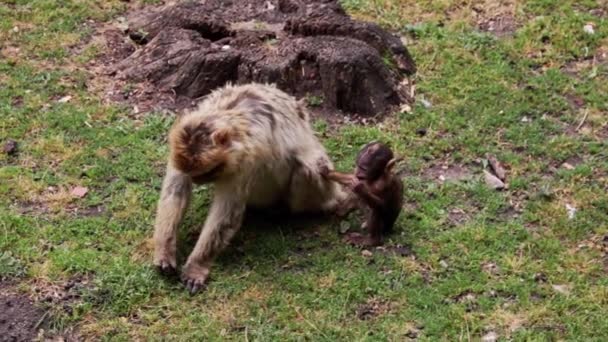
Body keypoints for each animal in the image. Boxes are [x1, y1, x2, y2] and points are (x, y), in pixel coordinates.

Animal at [153, 83, 352, 294]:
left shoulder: (246, 159)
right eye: (193, 174)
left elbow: (226, 212)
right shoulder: (178, 149)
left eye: (207, 171)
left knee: (307, 169)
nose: (197, 180)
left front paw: (196, 265)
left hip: (324, 188)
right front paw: (165, 250)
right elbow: (175, 191)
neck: (231, 118)